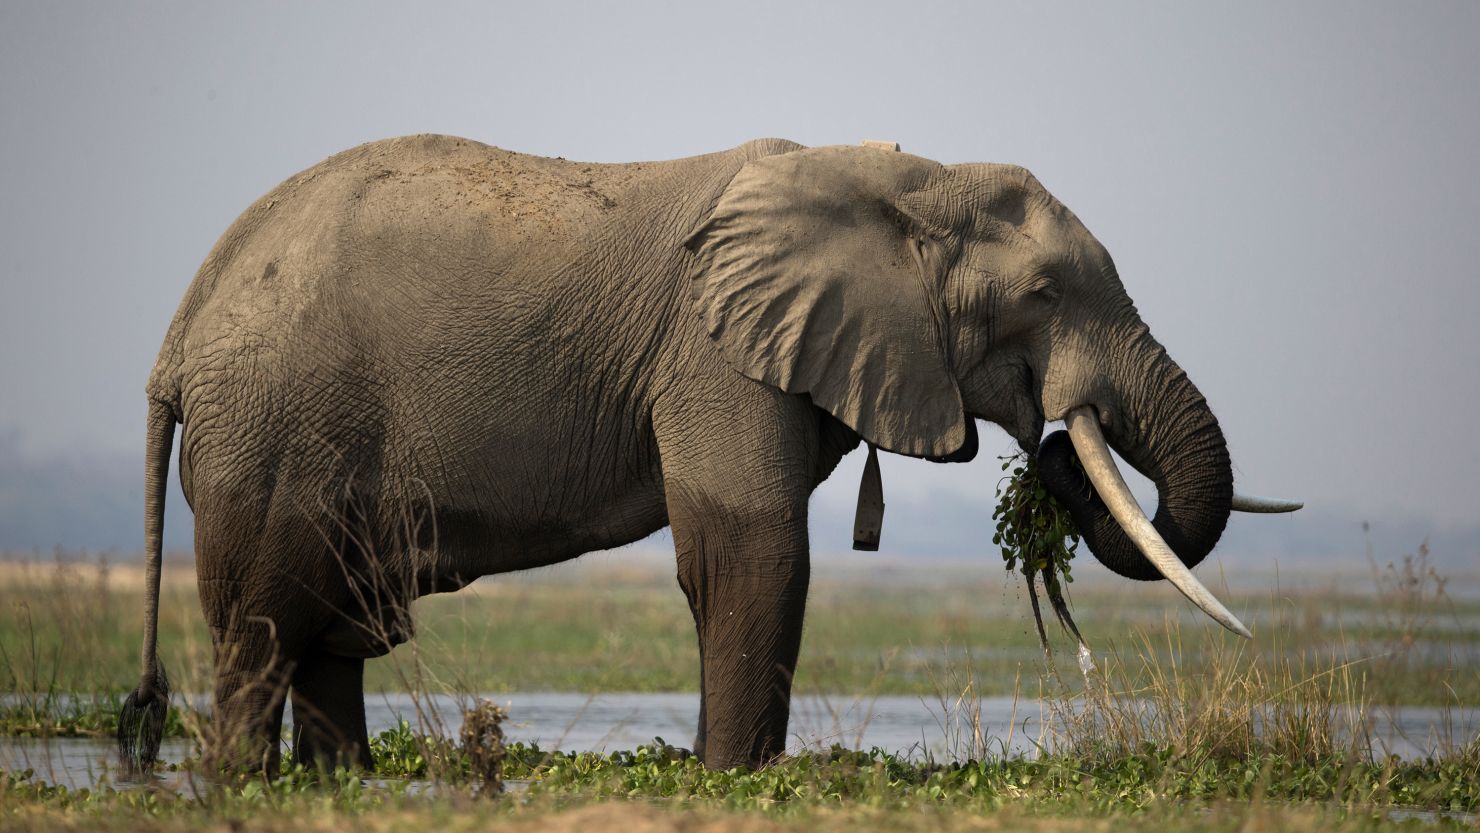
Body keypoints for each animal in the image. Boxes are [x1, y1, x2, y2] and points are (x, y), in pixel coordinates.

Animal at [115, 133, 1296, 775]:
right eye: (1044, 294)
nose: (1053, 451)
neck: (902, 175)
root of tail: (175, 337)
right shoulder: (714, 352)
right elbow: (751, 554)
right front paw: (733, 777)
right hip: (273, 429)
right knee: (268, 628)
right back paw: (242, 783)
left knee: (330, 632)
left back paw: (346, 783)